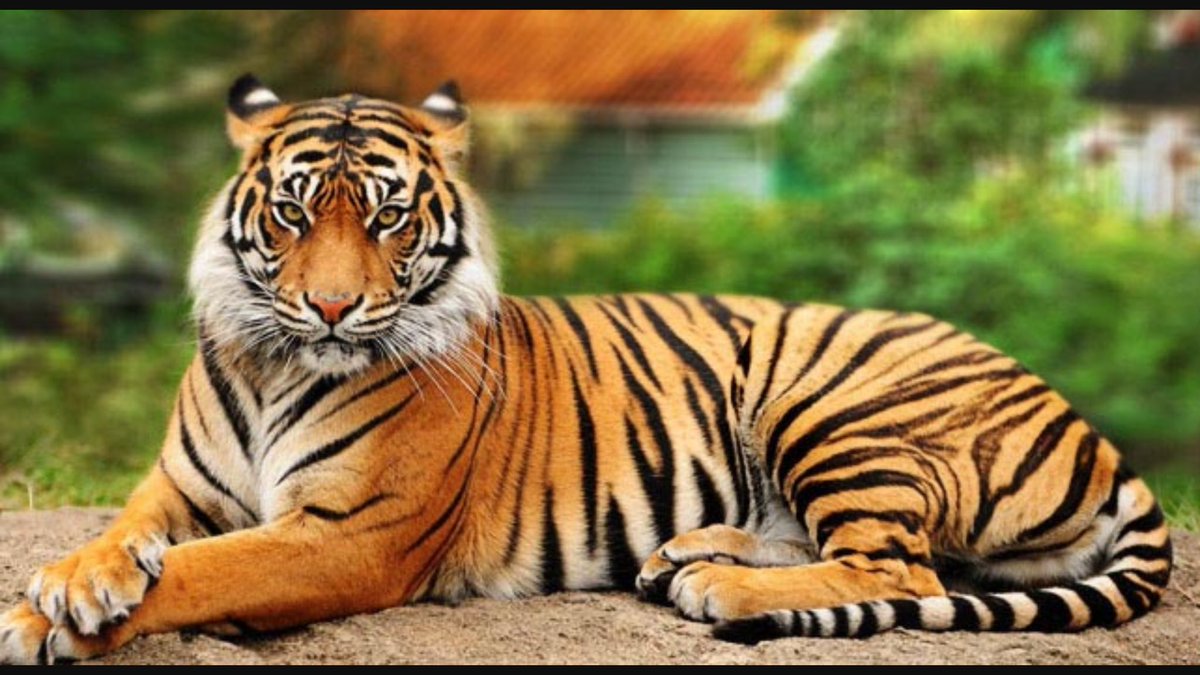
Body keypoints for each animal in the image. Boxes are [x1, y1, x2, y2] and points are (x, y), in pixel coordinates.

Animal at [0, 75, 1172, 664]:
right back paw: (689, 553)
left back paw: (715, 583)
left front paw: (44, 619)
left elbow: (204, 572)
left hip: (831, 398)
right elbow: (128, 536)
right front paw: (73, 581)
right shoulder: (178, 488)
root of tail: (1090, 425)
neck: (274, 361)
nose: (331, 307)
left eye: (385, 216)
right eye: (293, 212)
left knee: (904, 569)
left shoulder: (348, 534)